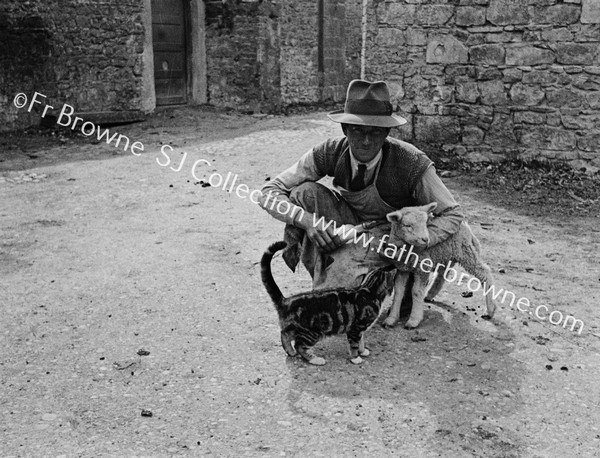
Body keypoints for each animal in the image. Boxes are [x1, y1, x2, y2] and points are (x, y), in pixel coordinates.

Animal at [260, 240, 392, 364]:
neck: (369, 290)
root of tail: (286, 301)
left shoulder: (360, 329)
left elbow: (361, 341)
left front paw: (363, 351)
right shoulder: (356, 328)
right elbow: (354, 344)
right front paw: (356, 358)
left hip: (295, 328)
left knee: (284, 334)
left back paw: (290, 352)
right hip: (312, 332)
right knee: (299, 345)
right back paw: (315, 359)